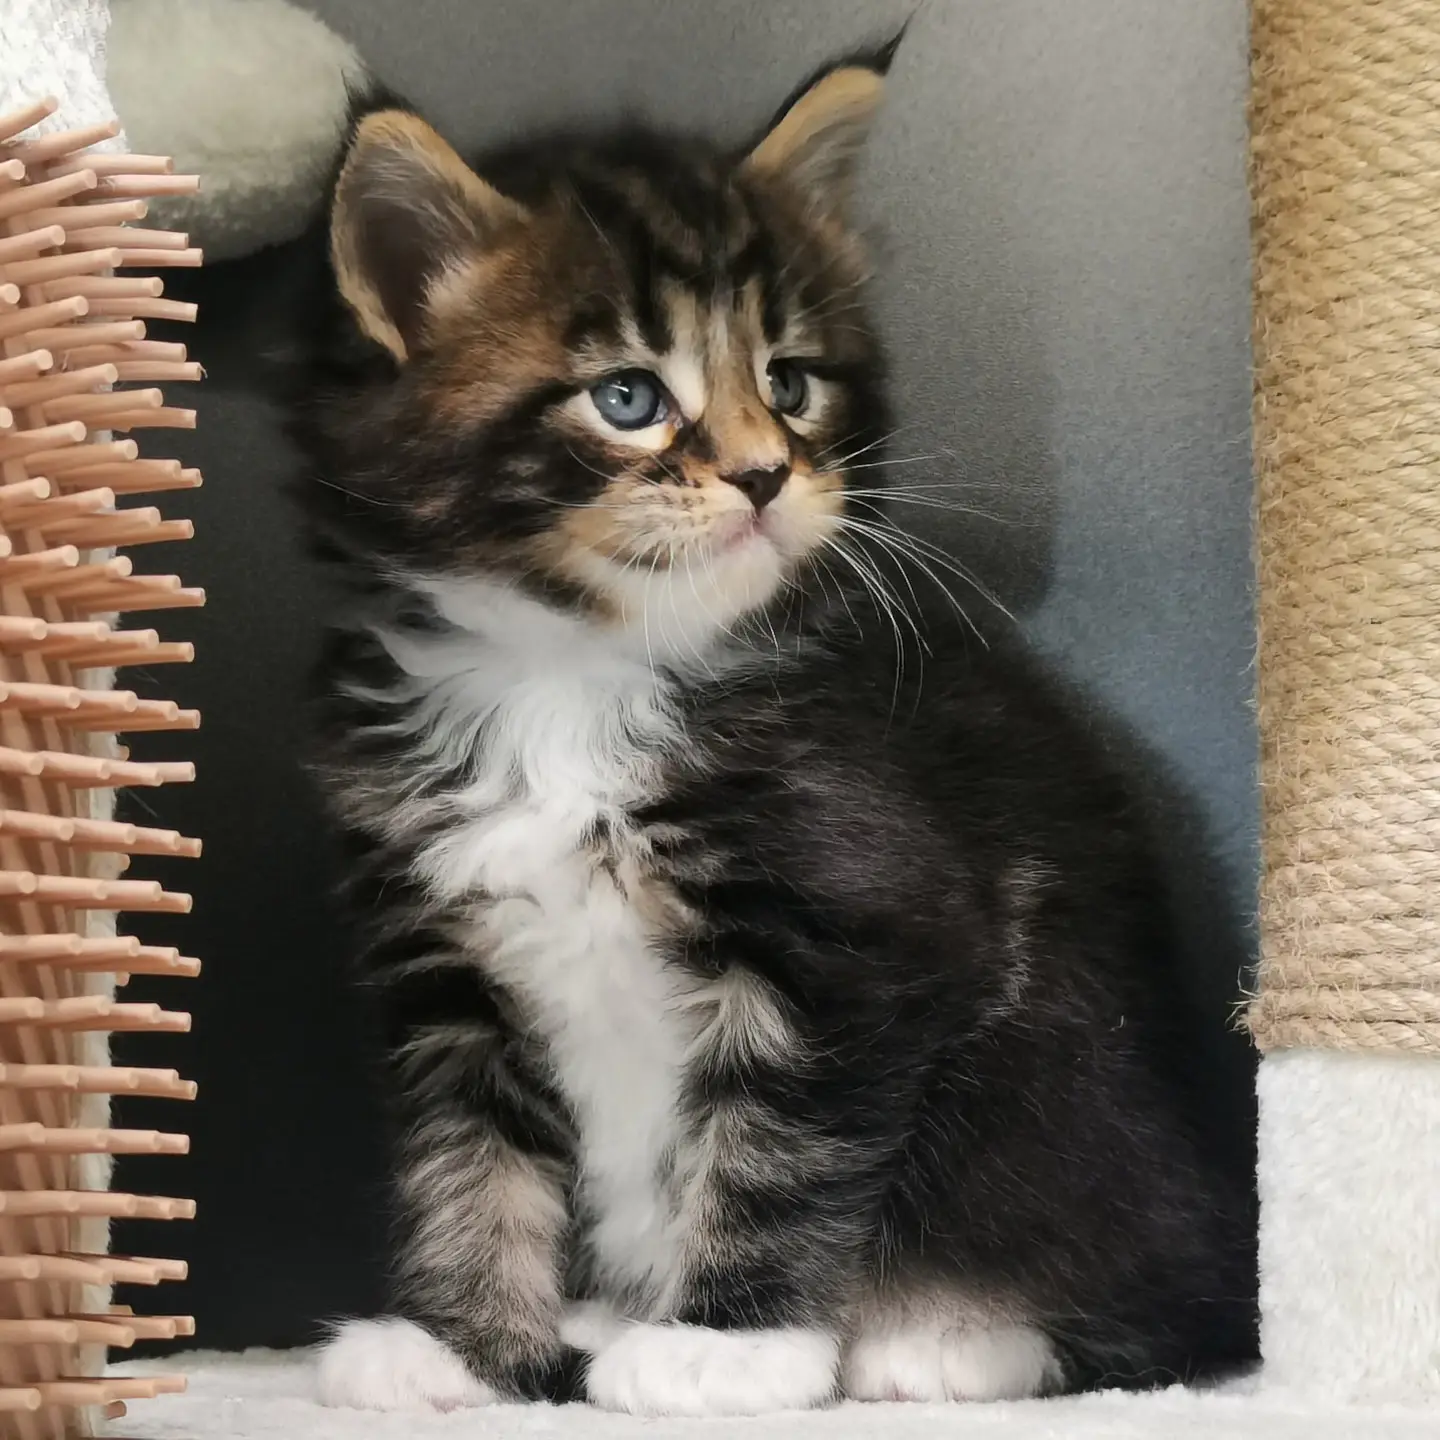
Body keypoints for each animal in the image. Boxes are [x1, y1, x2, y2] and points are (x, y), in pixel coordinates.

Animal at [286, 39, 1257, 1419]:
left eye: (790, 385)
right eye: (627, 397)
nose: (763, 474)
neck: (569, 674)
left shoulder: (863, 925)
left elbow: (775, 1146)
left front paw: (726, 1348)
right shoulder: (442, 970)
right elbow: (470, 1159)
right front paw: (462, 1347)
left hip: (1078, 1117)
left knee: (1162, 1304)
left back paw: (948, 1337)